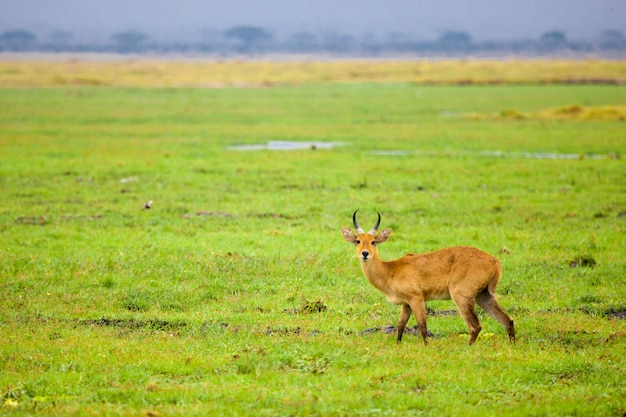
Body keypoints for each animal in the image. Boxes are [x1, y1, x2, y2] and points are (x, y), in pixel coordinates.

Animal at [342, 211, 512, 344]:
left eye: (373, 241)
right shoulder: (406, 303)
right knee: (507, 320)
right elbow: (400, 325)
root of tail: (494, 261)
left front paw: (426, 346)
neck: (391, 270)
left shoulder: (416, 298)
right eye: (358, 241)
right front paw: (398, 345)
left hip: (461, 295)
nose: (365, 253)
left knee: (475, 326)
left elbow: (422, 325)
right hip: (483, 295)